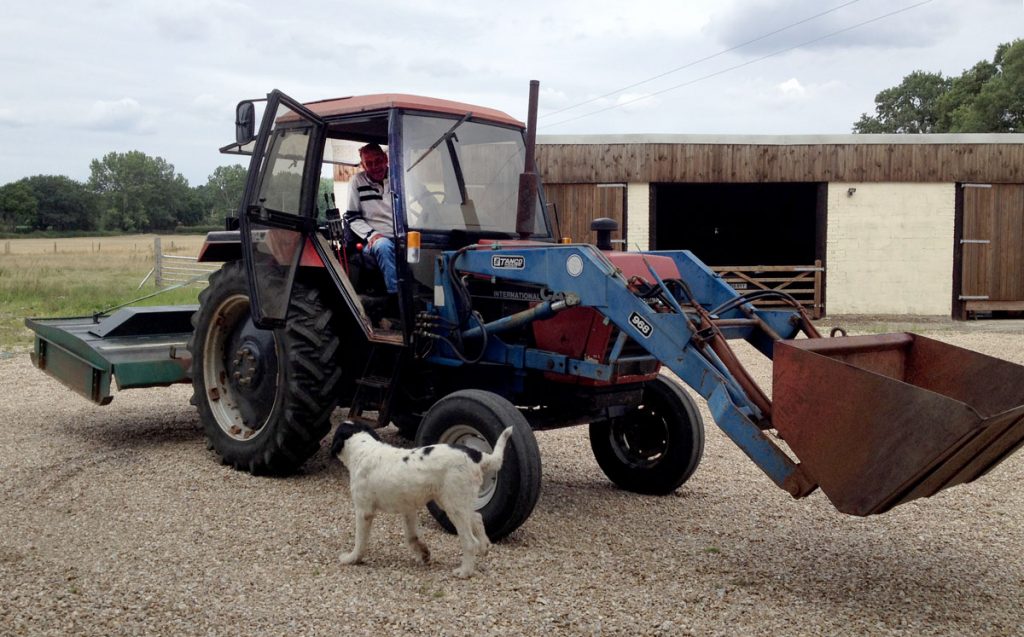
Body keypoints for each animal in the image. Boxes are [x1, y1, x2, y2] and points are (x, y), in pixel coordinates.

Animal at [331, 423, 512, 577]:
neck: (363, 449)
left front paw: (352, 558)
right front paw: (423, 553)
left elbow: (360, 541)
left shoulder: (364, 512)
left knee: (469, 541)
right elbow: (411, 537)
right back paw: (484, 547)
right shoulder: (408, 509)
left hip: (455, 507)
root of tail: (476, 455)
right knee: (477, 517)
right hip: (457, 502)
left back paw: (464, 571)